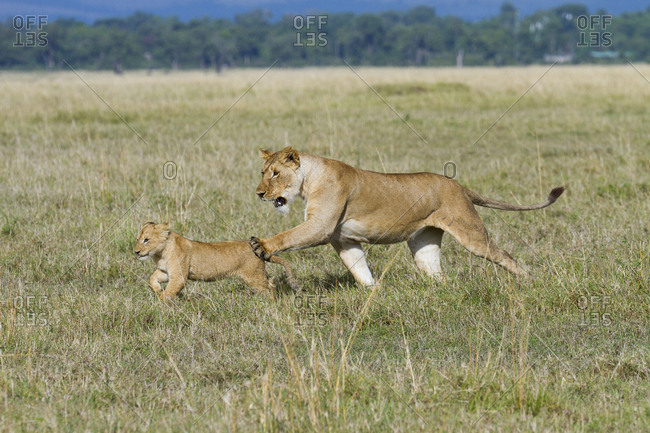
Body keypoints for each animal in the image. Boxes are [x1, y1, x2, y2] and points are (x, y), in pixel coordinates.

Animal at [134, 222, 298, 301]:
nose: (136, 252)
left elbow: (169, 292)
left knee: (268, 287)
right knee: (272, 281)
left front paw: (160, 304)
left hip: (253, 277)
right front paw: (157, 289)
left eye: (146, 240)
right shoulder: (166, 272)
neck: (160, 253)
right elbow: (152, 278)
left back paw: (272, 303)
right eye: (138, 239)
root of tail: (258, 248)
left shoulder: (179, 276)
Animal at [250, 147, 565, 285]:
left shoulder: (320, 226)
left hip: (470, 232)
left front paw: (262, 245)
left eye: (275, 173)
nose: (259, 193)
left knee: (504, 255)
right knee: (437, 273)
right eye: (263, 172)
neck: (309, 179)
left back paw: (529, 281)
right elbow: (359, 269)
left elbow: (289, 236)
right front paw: (373, 291)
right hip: (423, 244)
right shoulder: (343, 240)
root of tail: (458, 185)